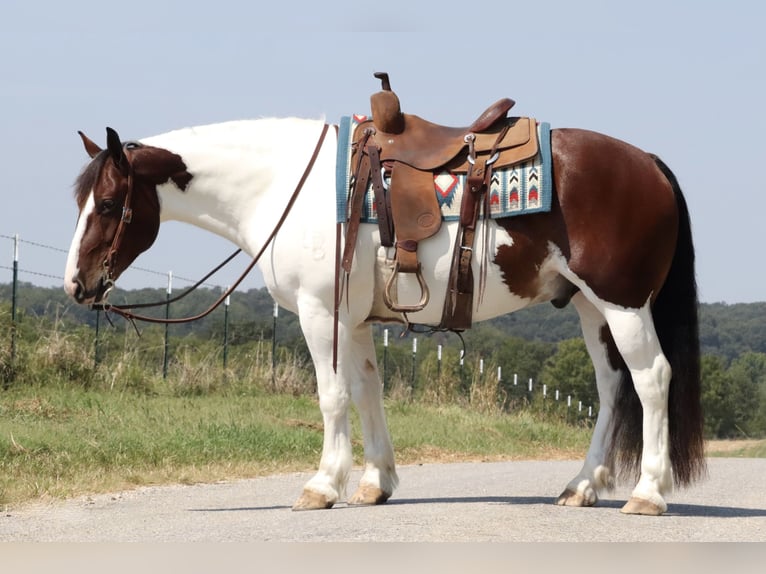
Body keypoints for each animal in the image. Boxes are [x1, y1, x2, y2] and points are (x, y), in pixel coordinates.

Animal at [66, 82, 708, 516]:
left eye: (108, 204)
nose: (77, 284)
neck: (284, 186)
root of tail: (648, 163)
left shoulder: (320, 313)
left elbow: (331, 396)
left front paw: (322, 486)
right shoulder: (353, 320)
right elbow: (367, 391)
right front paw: (376, 483)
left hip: (623, 304)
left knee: (652, 378)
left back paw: (648, 493)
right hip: (590, 307)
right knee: (613, 386)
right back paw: (581, 486)